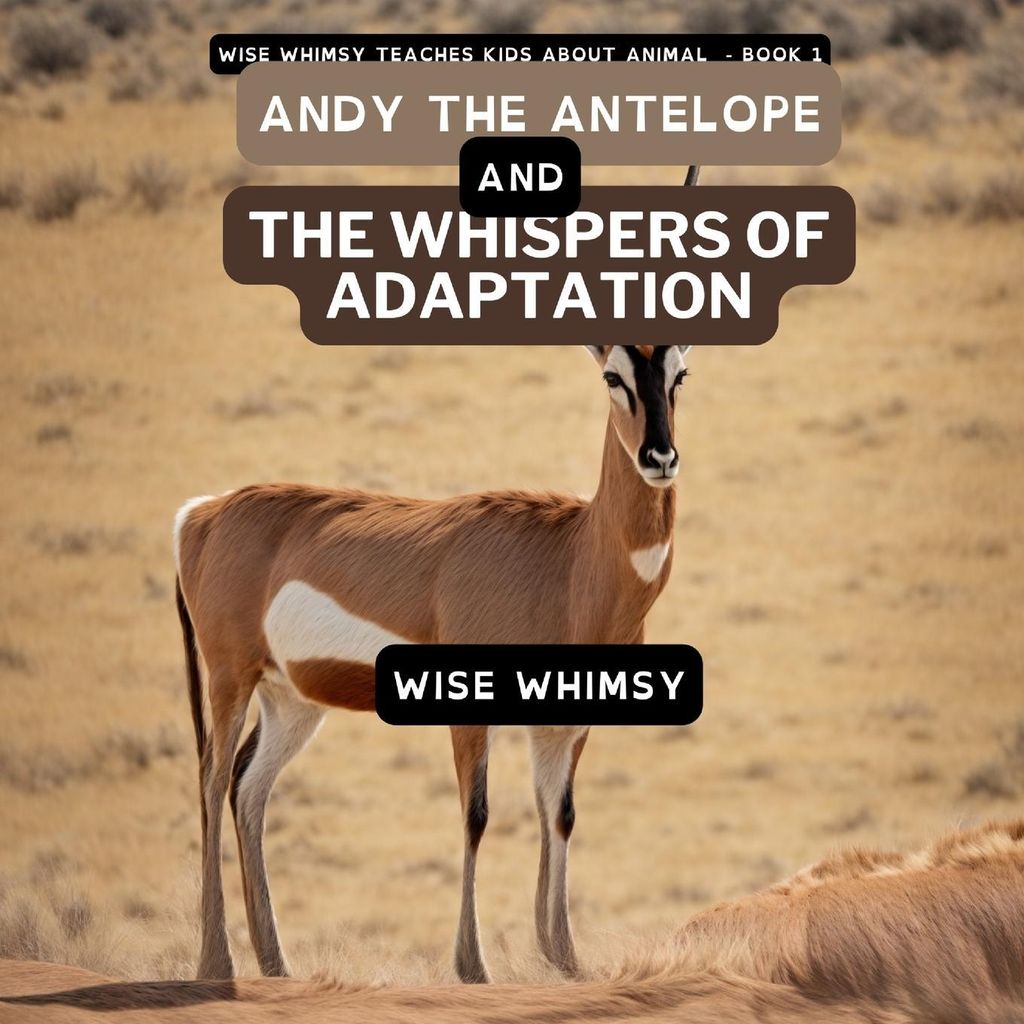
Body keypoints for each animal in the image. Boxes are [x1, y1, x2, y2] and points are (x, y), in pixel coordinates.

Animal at [175, 166, 700, 982]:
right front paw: (472, 967)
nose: (660, 456)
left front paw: (566, 961)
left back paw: (276, 964)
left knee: (247, 787)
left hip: (292, 700)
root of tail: (203, 514)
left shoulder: (565, 720)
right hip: (230, 677)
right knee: (208, 779)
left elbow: (560, 816)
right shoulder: (469, 709)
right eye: (614, 375)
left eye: (680, 371)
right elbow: (477, 815)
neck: (569, 556)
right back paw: (216, 966)